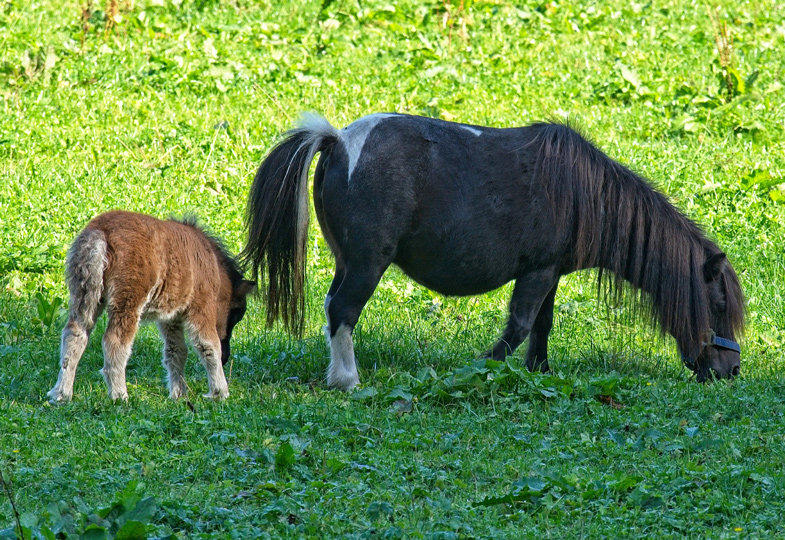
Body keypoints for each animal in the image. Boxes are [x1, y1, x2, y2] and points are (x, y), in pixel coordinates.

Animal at [47, 211, 254, 400]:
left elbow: (176, 351)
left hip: (84, 294)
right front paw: (219, 393)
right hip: (128, 300)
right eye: (237, 313)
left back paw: (61, 394)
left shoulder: (171, 318)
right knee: (115, 341)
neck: (212, 265)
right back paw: (119, 395)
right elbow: (208, 346)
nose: (226, 357)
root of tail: (100, 232)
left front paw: (179, 394)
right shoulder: (200, 307)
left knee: (74, 333)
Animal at [242, 114, 744, 390]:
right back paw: (347, 380)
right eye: (718, 304)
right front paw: (483, 369)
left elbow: (542, 325)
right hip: (368, 263)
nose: (731, 370)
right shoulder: (538, 273)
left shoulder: (549, 272)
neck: (581, 193)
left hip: (348, 261)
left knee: (333, 307)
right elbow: (519, 326)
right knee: (344, 310)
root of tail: (337, 141)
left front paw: (539, 372)